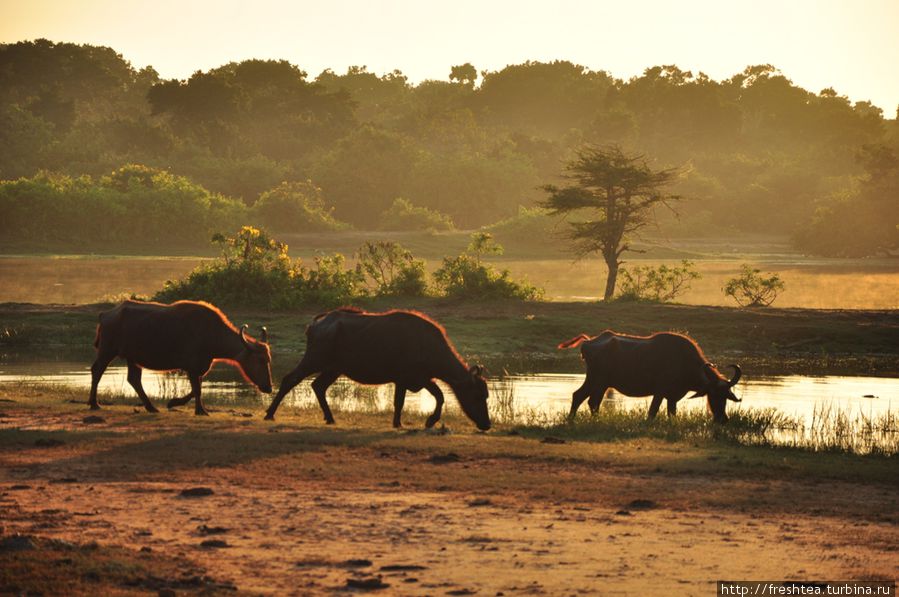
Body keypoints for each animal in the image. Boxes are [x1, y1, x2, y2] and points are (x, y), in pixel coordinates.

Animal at [92, 298, 276, 414]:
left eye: (269, 360)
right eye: (260, 360)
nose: (268, 387)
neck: (212, 334)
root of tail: (105, 315)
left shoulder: (200, 368)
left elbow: (197, 389)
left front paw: (174, 402)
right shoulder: (193, 367)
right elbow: (197, 389)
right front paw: (200, 410)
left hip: (133, 358)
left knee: (134, 379)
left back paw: (151, 407)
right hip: (107, 350)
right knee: (97, 371)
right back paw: (94, 404)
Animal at [264, 308, 492, 428]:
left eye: (486, 395)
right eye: (478, 395)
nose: (487, 424)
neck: (426, 345)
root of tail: (316, 324)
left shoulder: (421, 379)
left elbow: (438, 396)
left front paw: (425, 421)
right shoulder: (405, 379)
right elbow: (404, 401)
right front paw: (407, 422)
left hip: (334, 369)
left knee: (318, 386)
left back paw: (330, 417)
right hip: (313, 360)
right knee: (289, 379)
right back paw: (270, 413)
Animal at [560, 330, 740, 424]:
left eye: (726, 396)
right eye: (714, 395)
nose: (723, 419)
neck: (684, 362)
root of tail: (589, 341)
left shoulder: (672, 397)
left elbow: (671, 413)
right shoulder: (659, 392)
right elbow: (652, 412)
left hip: (596, 381)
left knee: (581, 397)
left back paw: (572, 420)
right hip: (599, 381)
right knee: (591, 401)